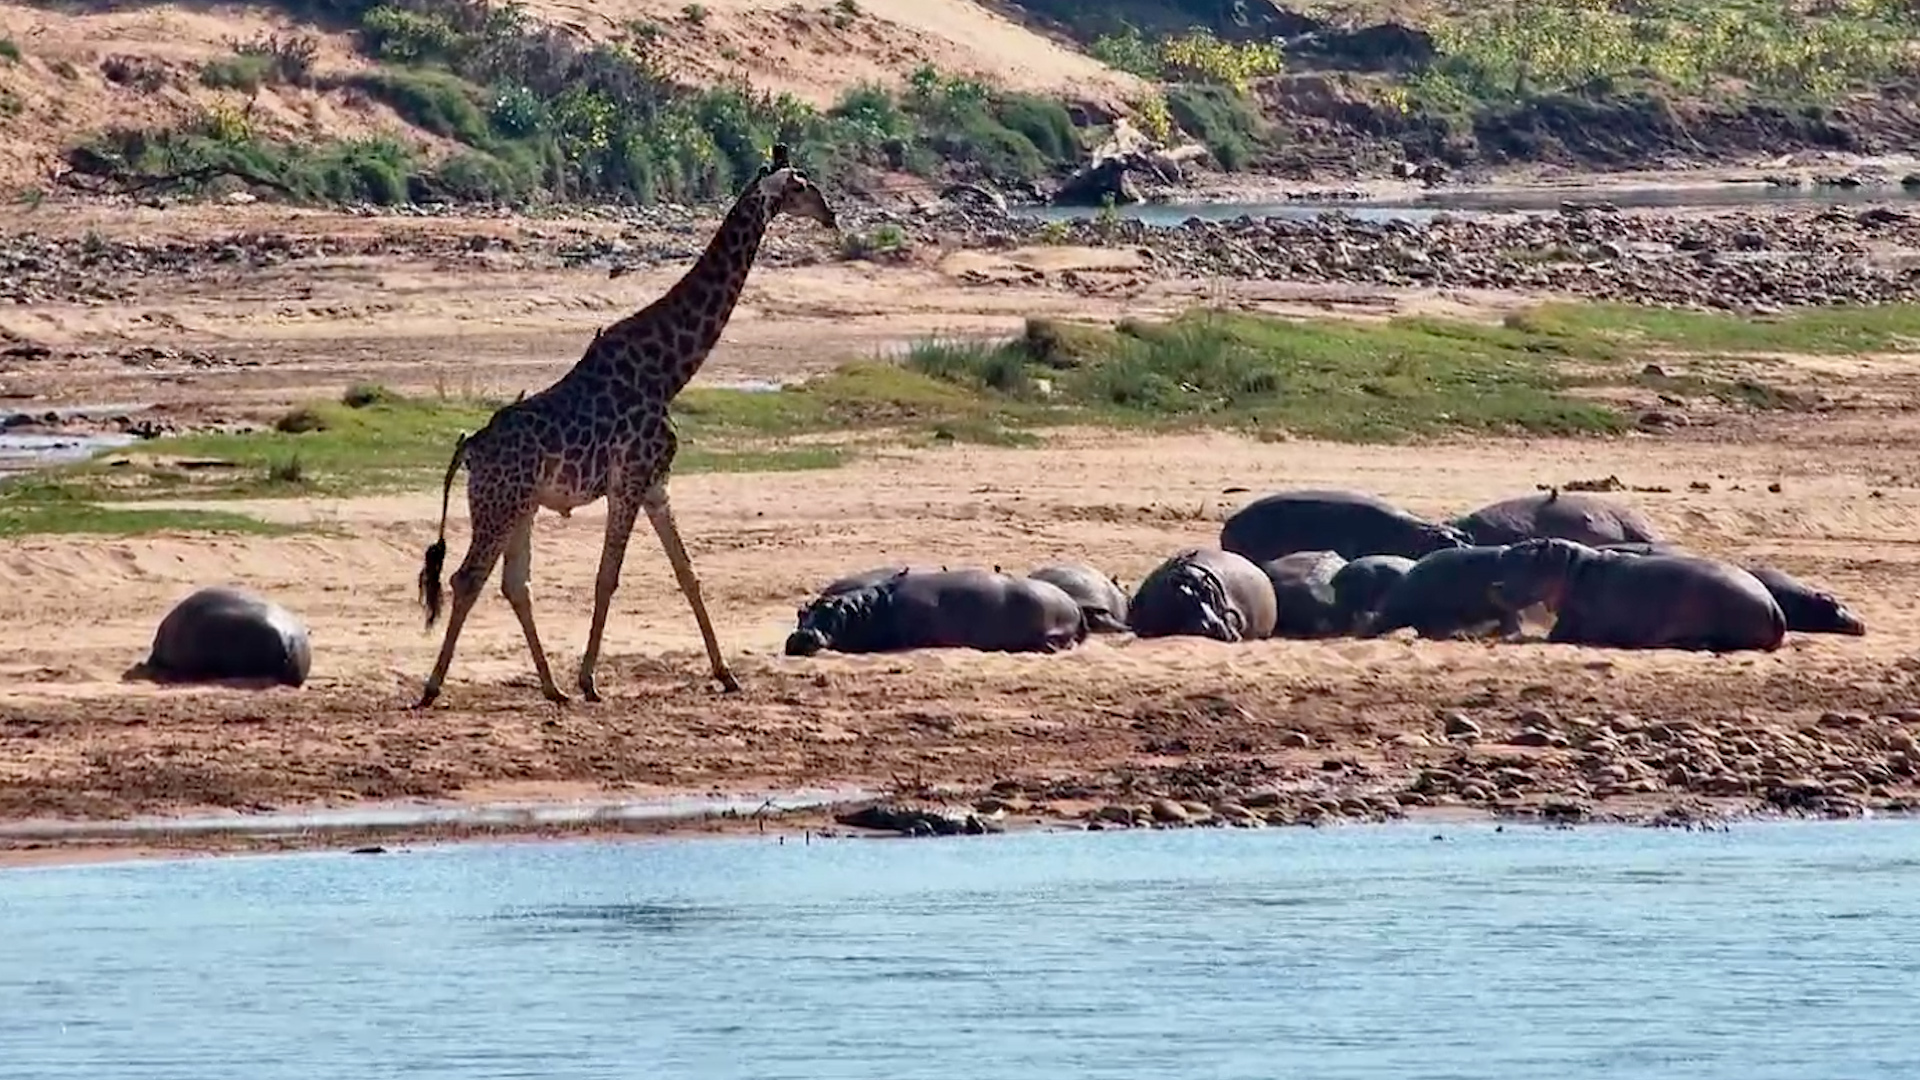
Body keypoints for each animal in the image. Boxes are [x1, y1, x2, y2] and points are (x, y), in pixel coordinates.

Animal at [411, 144, 838, 708]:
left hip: (522, 505)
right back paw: (435, 685)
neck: (669, 371)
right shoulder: (629, 479)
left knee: (513, 584)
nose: (831, 215)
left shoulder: (655, 483)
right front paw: (590, 679)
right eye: (800, 186)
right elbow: (607, 577)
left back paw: (551, 687)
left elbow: (688, 574)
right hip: (499, 503)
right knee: (467, 578)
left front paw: (726, 674)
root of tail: (469, 450)